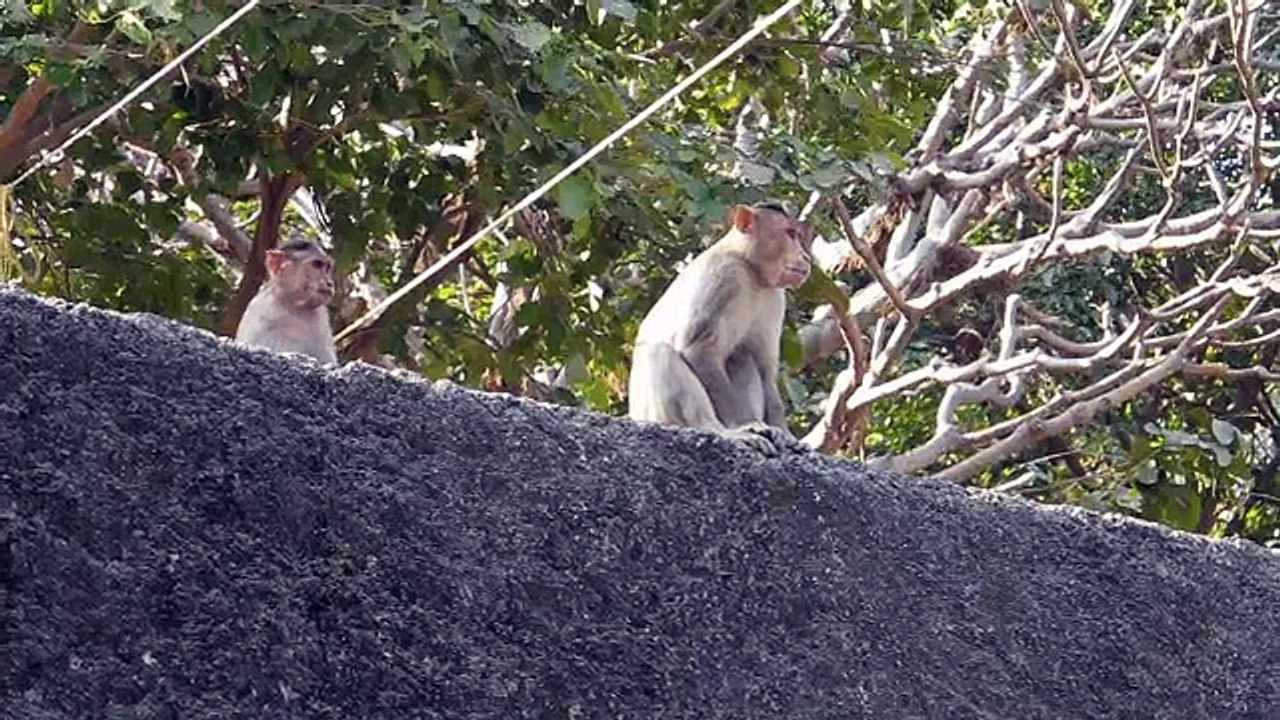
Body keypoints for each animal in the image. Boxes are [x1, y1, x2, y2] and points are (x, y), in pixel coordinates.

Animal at [627, 202, 813, 455]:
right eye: (790, 234)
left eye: (796, 234)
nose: (805, 256)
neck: (749, 268)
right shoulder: (723, 277)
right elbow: (698, 348)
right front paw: (739, 427)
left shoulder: (775, 298)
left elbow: (764, 366)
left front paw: (784, 433)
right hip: (654, 415)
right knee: (660, 353)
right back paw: (715, 428)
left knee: (741, 355)